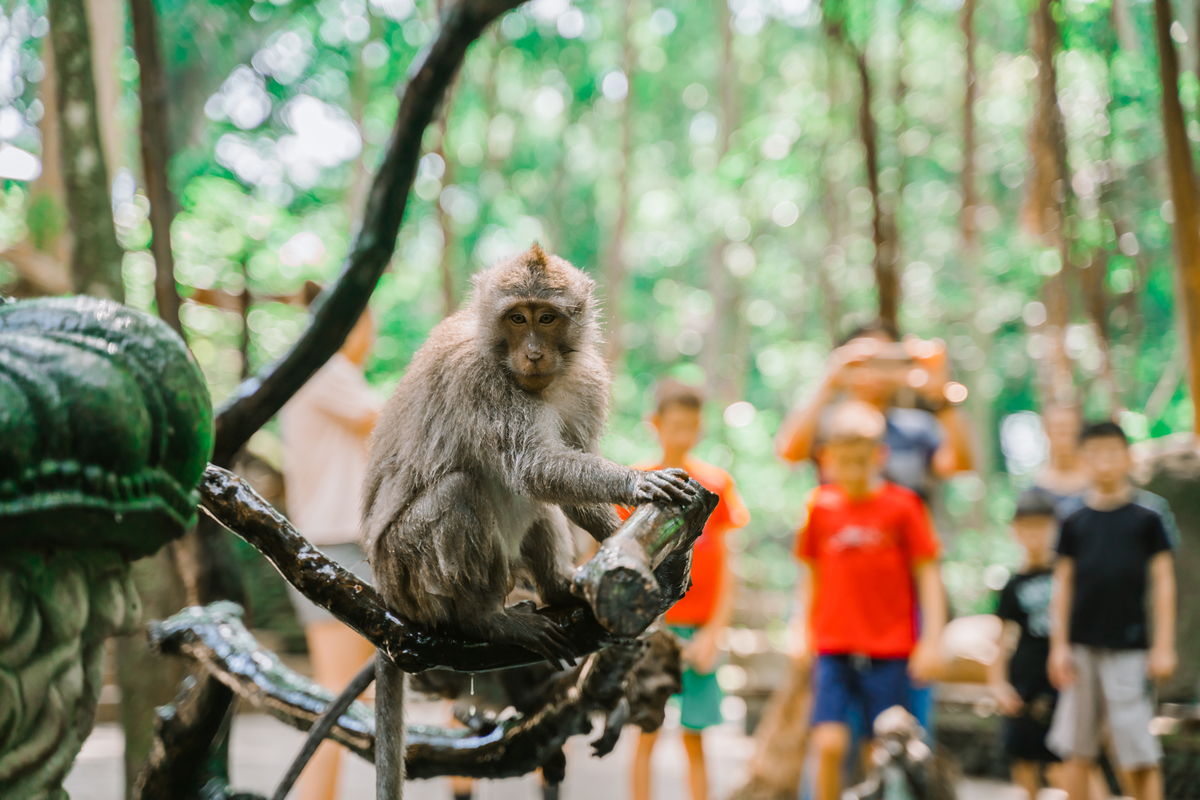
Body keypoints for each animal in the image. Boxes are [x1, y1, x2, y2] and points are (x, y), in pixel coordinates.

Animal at [361, 243, 698, 662]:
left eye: (548, 318)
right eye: (517, 318)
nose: (534, 353)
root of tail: (387, 596)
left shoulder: (588, 381)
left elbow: (565, 480)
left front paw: (626, 545)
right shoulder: (480, 378)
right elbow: (533, 467)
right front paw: (638, 481)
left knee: (538, 505)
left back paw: (558, 588)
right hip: (405, 575)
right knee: (460, 489)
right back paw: (484, 619)